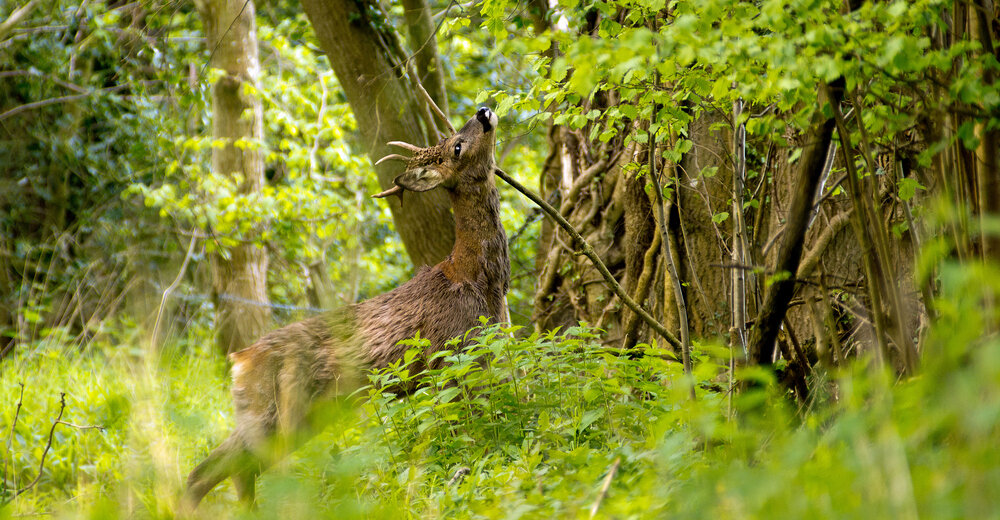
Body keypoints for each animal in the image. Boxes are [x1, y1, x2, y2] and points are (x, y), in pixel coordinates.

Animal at [181, 107, 508, 510]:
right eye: (458, 146)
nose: (483, 111)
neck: (473, 276)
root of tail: (238, 359)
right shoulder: (452, 356)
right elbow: (467, 428)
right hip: (278, 412)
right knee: (228, 472)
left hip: (286, 417)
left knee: (220, 472)